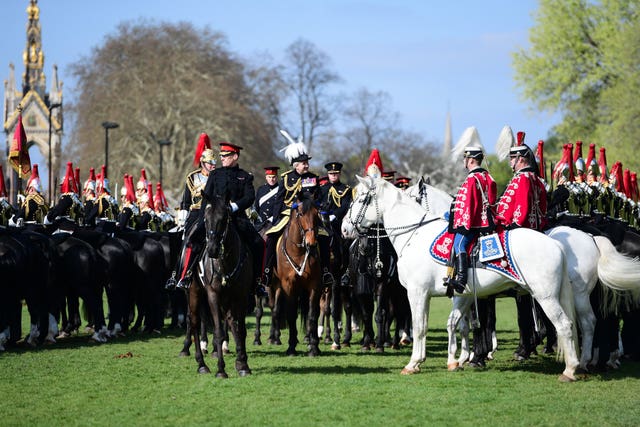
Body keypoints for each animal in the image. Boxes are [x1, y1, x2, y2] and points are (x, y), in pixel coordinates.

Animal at [186, 194, 251, 378]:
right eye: (206, 220)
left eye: (223, 219)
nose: (212, 250)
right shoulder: (213, 294)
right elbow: (218, 331)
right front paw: (221, 369)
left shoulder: (241, 296)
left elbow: (240, 328)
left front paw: (243, 364)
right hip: (194, 292)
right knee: (194, 321)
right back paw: (201, 364)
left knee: (230, 320)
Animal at [272, 192, 322, 356]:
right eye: (300, 214)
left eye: (317, 213)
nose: (311, 244)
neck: (299, 252)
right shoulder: (288, 285)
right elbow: (291, 314)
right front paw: (291, 347)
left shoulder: (315, 285)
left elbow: (312, 315)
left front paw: (313, 347)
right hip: (276, 286)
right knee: (276, 309)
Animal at [342, 176, 584, 382]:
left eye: (361, 199)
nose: (345, 229)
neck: (415, 234)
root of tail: (555, 243)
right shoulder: (458, 295)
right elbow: (451, 324)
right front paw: (450, 360)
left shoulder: (417, 293)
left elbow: (420, 327)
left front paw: (413, 364)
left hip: (545, 296)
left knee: (563, 325)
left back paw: (570, 370)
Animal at [408, 177, 640, 372]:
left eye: (412, 196)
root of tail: (592, 237)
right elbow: (468, 323)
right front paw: (467, 356)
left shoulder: (477, 295)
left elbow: (477, 324)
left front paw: (475, 355)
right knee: (597, 321)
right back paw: (594, 360)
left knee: (594, 321)